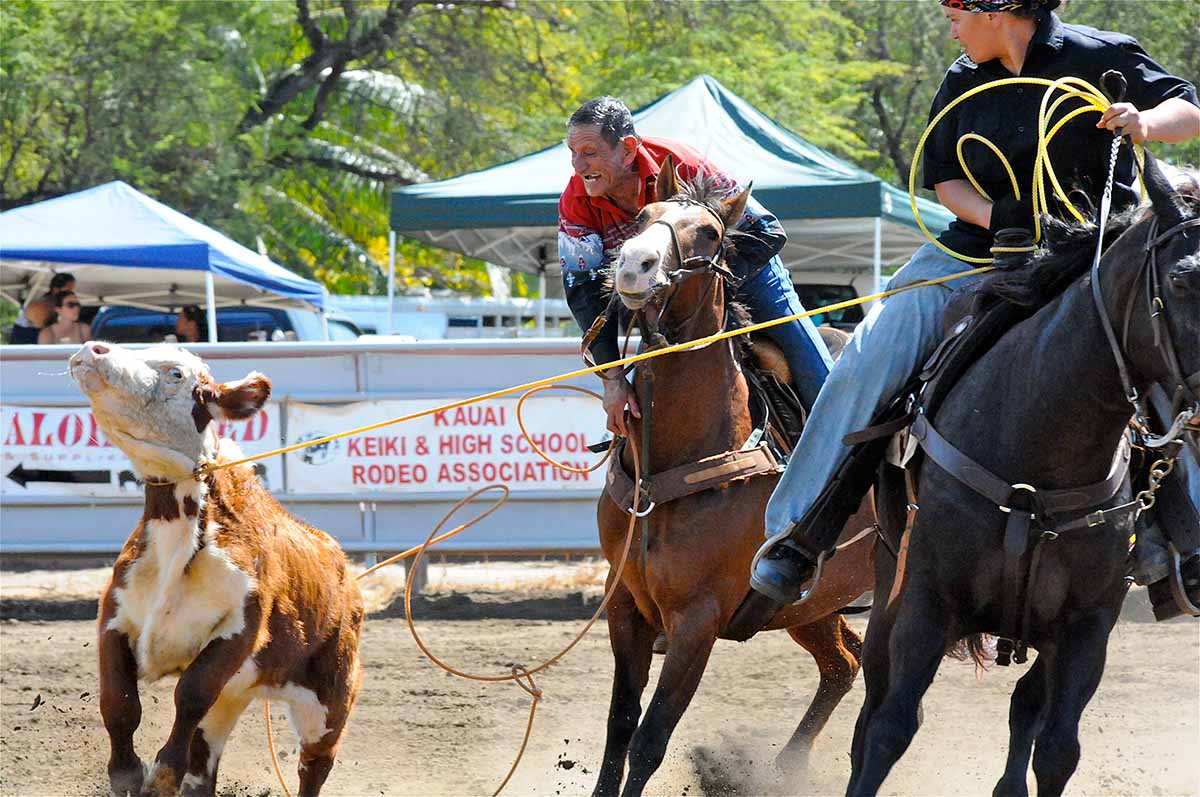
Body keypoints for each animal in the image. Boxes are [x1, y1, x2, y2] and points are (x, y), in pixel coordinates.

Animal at [69, 343, 360, 797]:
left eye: (175, 373)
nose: (93, 349)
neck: (184, 528)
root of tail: (343, 567)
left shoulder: (239, 630)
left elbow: (190, 694)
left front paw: (162, 774)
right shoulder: (114, 617)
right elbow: (119, 701)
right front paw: (128, 773)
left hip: (331, 699)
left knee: (314, 765)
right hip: (232, 696)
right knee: (204, 761)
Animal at [595, 163, 878, 797]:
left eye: (707, 234)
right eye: (642, 219)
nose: (633, 266)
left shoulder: (696, 621)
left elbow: (650, 740)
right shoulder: (626, 604)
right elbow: (620, 727)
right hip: (812, 602)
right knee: (845, 663)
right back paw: (786, 767)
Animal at [849, 151, 1195, 797]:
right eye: (1183, 279)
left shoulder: (1088, 627)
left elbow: (1058, 749)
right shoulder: (927, 603)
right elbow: (889, 730)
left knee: (1026, 708)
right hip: (888, 585)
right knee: (872, 707)